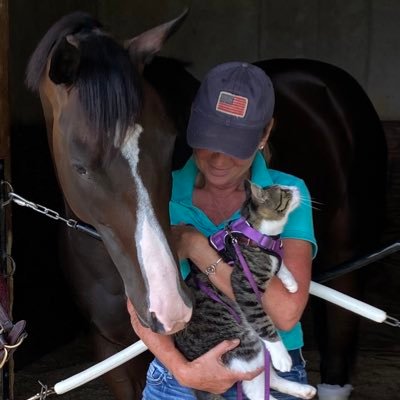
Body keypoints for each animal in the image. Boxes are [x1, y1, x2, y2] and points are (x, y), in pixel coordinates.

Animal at [174, 182, 316, 400]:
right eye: (285, 192)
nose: (296, 187)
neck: (259, 235)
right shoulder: (244, 285)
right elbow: (262, 320)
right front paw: (282, 356)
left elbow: (280, 264)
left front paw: (291, 282)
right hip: (244, 346)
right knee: (254, 388)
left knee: (267, 377)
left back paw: (303, 390)